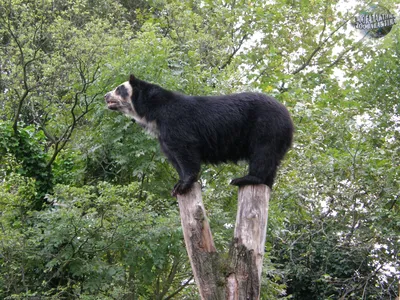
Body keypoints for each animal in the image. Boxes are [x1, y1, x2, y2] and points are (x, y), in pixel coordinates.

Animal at [104, 75, 292, 197]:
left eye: (119, 89)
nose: (106, 95)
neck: (154, 114)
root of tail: (288, 117)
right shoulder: (163, 136)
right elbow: (173, 156)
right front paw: (178, 183)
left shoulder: (176, 123)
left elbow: (185, 151)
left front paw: (182, 185)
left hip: (266, 127)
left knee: (263, 152)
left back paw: (245, 179)